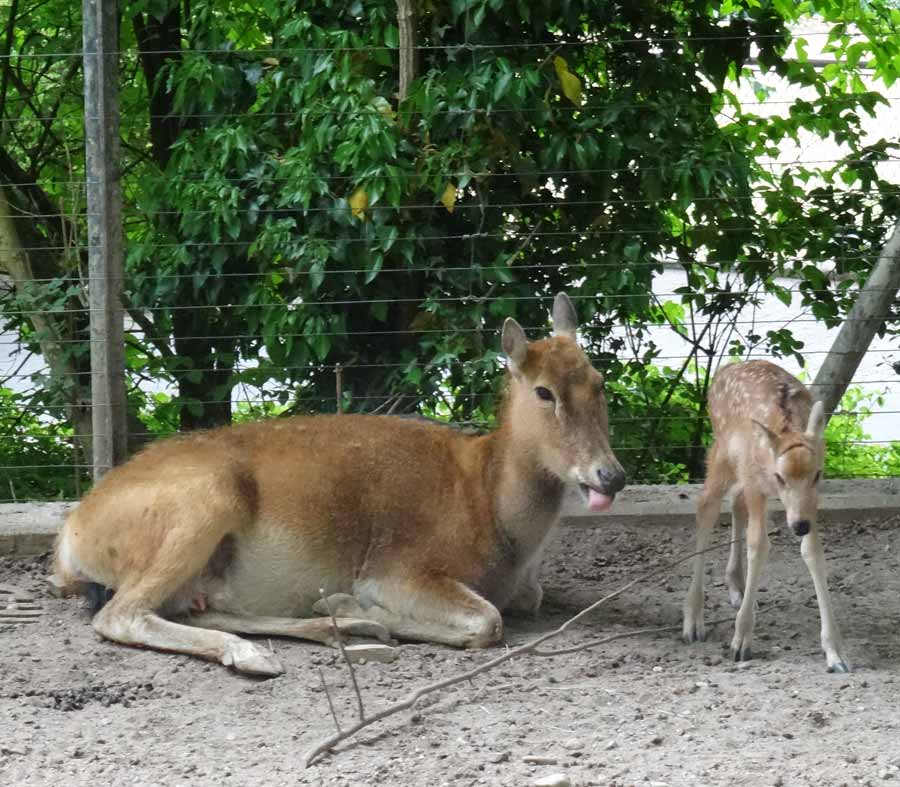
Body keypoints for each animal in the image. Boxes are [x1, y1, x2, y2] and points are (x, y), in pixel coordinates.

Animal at [52, 296, 624, 676]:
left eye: (599, 381)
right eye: (544, 392)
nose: (611, 474)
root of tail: (69, 540)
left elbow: (525, 600)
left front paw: (348, 614)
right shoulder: (400, 567)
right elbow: (488, 620)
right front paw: (355, 604)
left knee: (192, 604)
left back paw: (337, 630)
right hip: (203, 502)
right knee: (120, 614)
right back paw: (269, 648)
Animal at [684, 360, 848, 676]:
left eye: (817, 474)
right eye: (780, 477)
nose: (800, 525)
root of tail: (724, 369)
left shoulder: (810, 499)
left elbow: (812, 552)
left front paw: (835, 653)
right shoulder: (755, 481)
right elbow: (758, 545)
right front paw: (740, 642)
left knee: (735, 502)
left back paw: (736, 587)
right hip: (722, 449)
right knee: (706, 505)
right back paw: (694, 621)